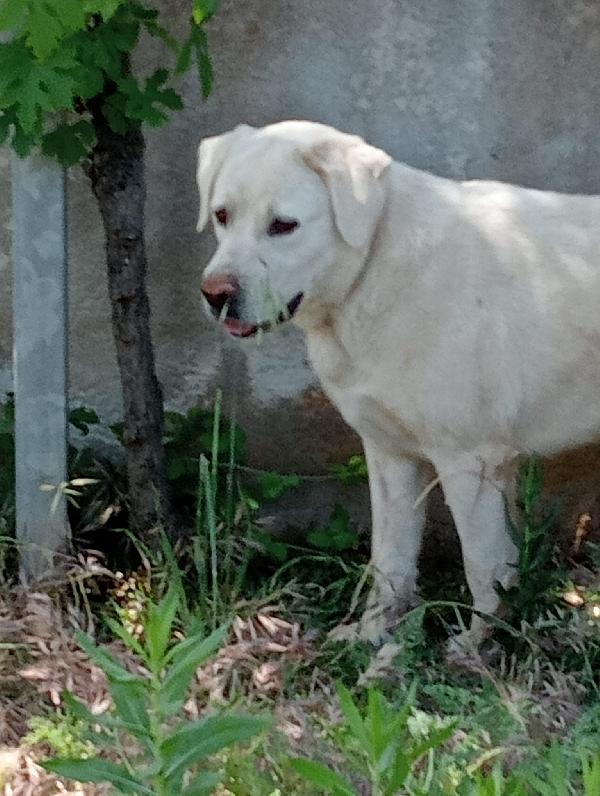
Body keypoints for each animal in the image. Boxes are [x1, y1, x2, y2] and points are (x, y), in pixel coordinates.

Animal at [196, 123, 600, 648]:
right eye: (222, 215)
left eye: (283, 226)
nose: (215, 295)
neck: (375, 269)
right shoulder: (390, 453)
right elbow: (390, 558)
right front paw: (372, 636)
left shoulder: (470, 460)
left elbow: (483, 565)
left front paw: (475, 646)